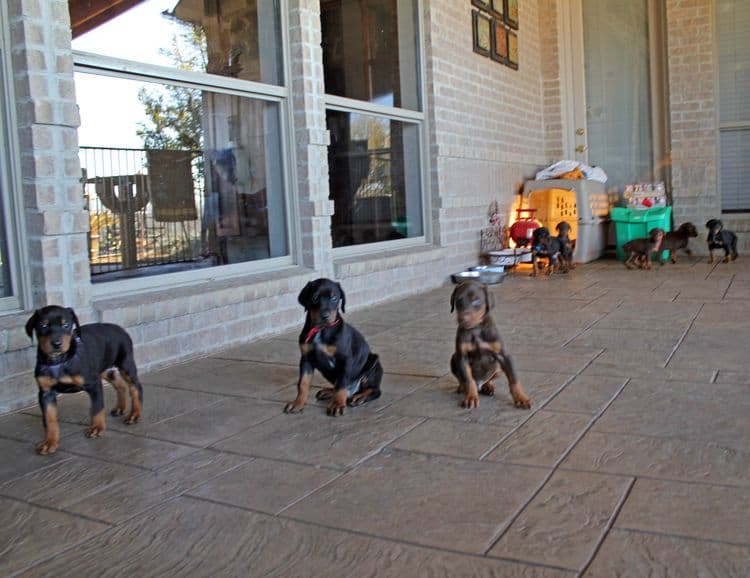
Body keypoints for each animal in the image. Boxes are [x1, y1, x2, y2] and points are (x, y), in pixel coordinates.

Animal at [26, 304, 144, 456]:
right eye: (43, 325)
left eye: (66, 325)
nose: (56, 343)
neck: (59, 360)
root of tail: (119, 328)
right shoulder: (46, 393)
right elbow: (49, 419)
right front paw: (50, 442)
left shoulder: (93, 384)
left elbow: (97, 407)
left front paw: (97, 428)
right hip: (104, 369)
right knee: (120, 385)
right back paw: (119, 408)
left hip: (125, 363)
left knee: (136, 387)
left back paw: (134, 414)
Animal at [284, 278, 384, 416]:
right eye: (314, 297)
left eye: (334, 298)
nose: (325, 316)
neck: (321, 330)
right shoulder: (306, 359)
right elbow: (303, 383)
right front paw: (298, 403)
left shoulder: (345, 360)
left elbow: (341, 384)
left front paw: (337, 405)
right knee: (340, 387)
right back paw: (328, 392)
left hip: (373, 363)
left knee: (374, 390)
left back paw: (359, 397)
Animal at [450, 280, 532, 410]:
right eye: (458, 301)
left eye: (476, 301)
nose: (463, 319)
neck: (476, 329)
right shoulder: (462, 357)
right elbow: (468, 380)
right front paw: (471, 397)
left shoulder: (504, 356)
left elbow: (514, 379)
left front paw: (522, 398)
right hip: (454, 358)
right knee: (463, 379)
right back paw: (463, 388)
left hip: (498, 367)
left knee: (489, 379)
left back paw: (488, 386)